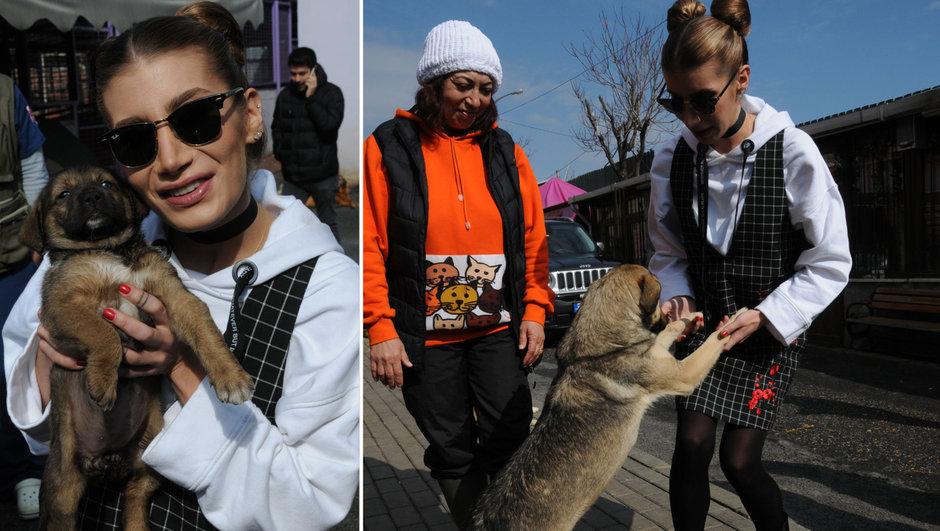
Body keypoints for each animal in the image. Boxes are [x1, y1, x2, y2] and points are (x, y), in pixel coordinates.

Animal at [21, 167, 255, 531]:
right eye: (64, 195)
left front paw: (231, 377)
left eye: (106, 184)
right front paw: (103, 380)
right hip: (62, 486)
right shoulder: (62, 305)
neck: (109, 251)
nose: (91, 197)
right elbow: (102, 331)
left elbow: (204, 327)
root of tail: (106, 461)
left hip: (152, 458)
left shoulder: (174, 294)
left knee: (134, 497)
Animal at [474, 264, 744, 528]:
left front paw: (687, 319)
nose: (669, 314)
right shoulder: (683, 374)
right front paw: (737, 319)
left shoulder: (657, 353)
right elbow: (712, 341)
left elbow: (664, 335)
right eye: (659, 301)